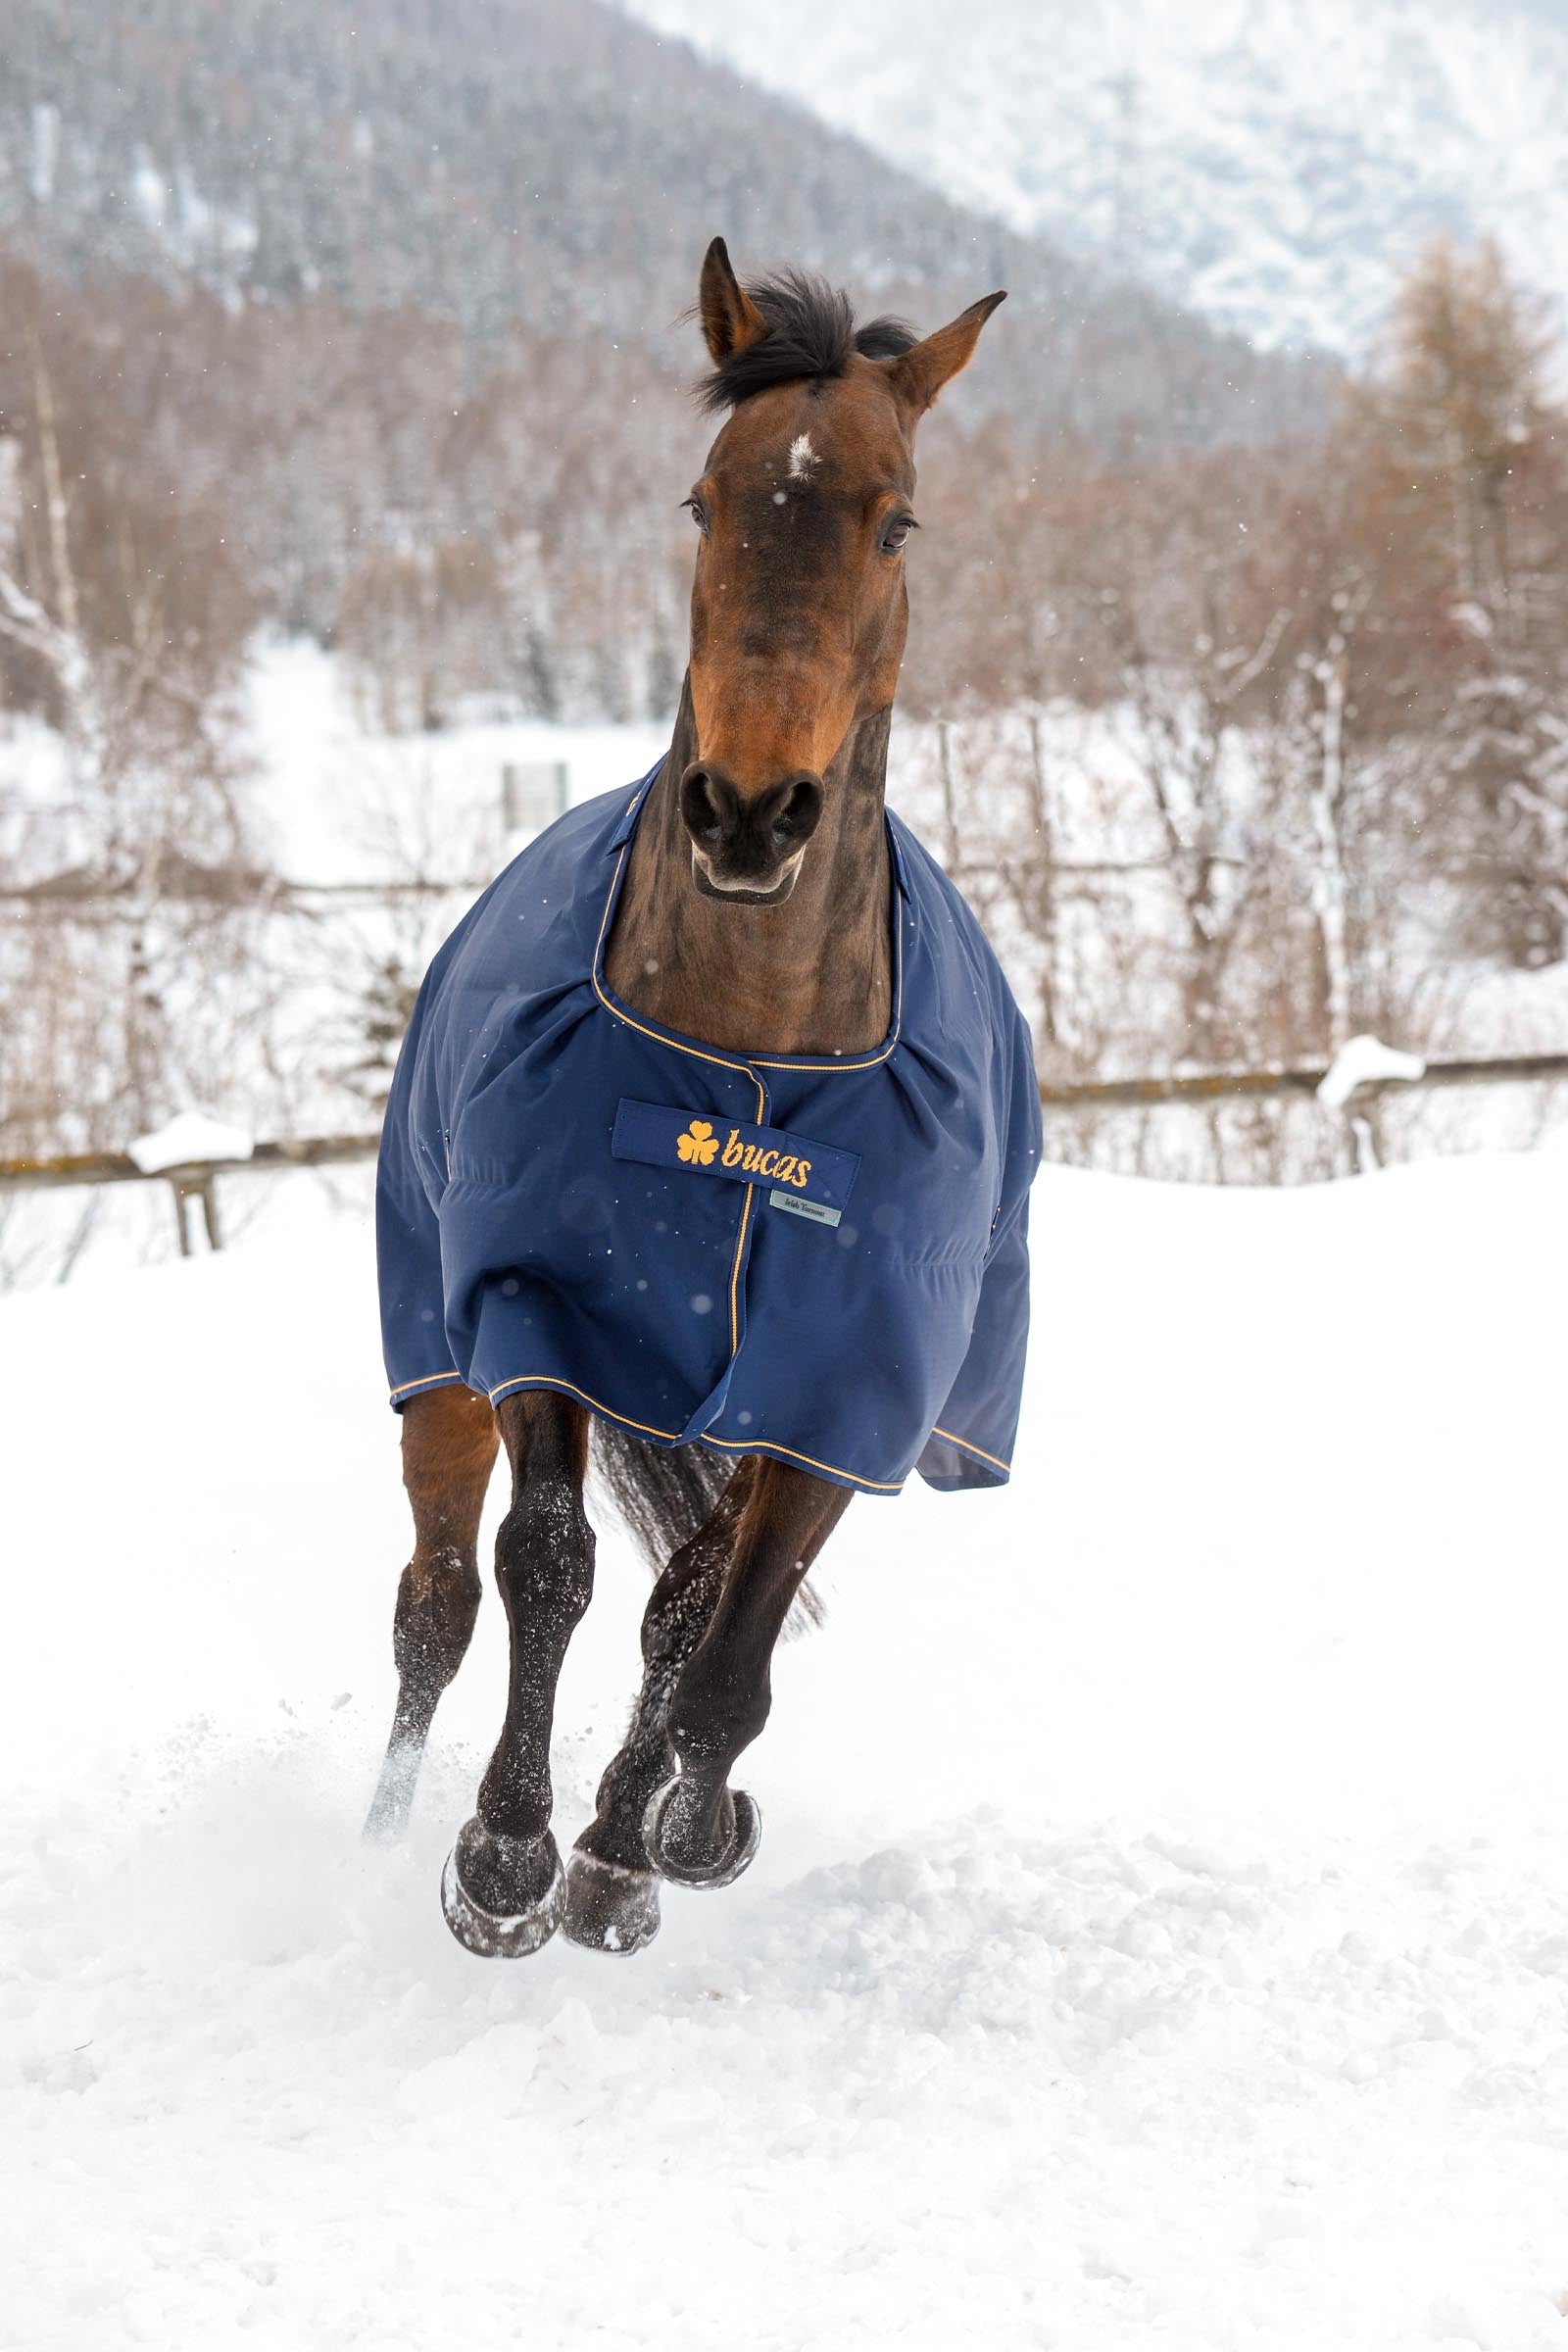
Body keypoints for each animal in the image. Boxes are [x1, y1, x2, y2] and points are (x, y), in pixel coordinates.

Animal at [366, 239, 1040, 1959]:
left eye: (897, 517)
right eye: (704, 500)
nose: (745, 811)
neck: (754, 1064)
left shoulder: (842, 1385)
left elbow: (718, 1637)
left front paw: (648, 1840)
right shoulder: (538, 1307)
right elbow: (545, 1566)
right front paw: (503, 1857)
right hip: (432, 1352)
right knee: (434, 1606)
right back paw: (382, 1837)